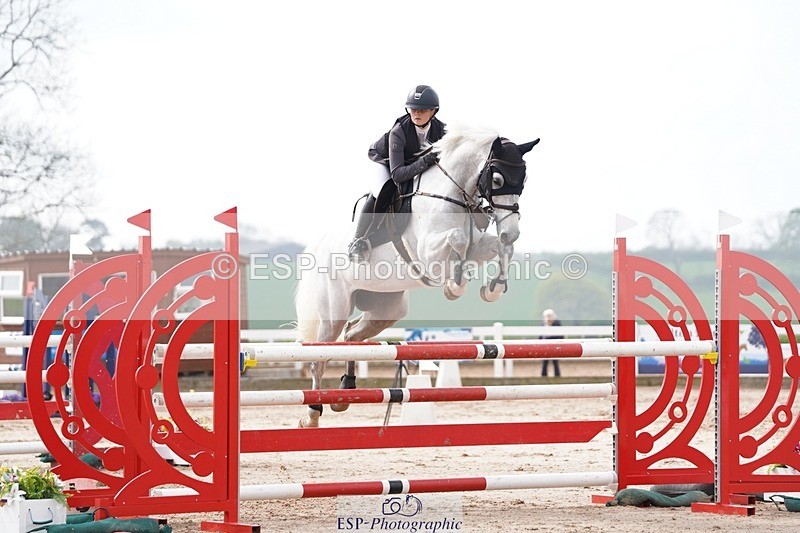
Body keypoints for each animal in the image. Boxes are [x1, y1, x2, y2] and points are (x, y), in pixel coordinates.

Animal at [294, 123, 539, 427]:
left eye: (523, 181)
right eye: (496, 179)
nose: (511, 230)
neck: (452, 195)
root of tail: (321, 243)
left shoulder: (479, 245)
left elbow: (500, 248)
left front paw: (492, 288)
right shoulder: (428, 254)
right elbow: (458, 240)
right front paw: (454, 286)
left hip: (386, 308)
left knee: (351, 336)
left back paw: (346, 393)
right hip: (333, 311)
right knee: (319, 357)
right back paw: (312, 416)